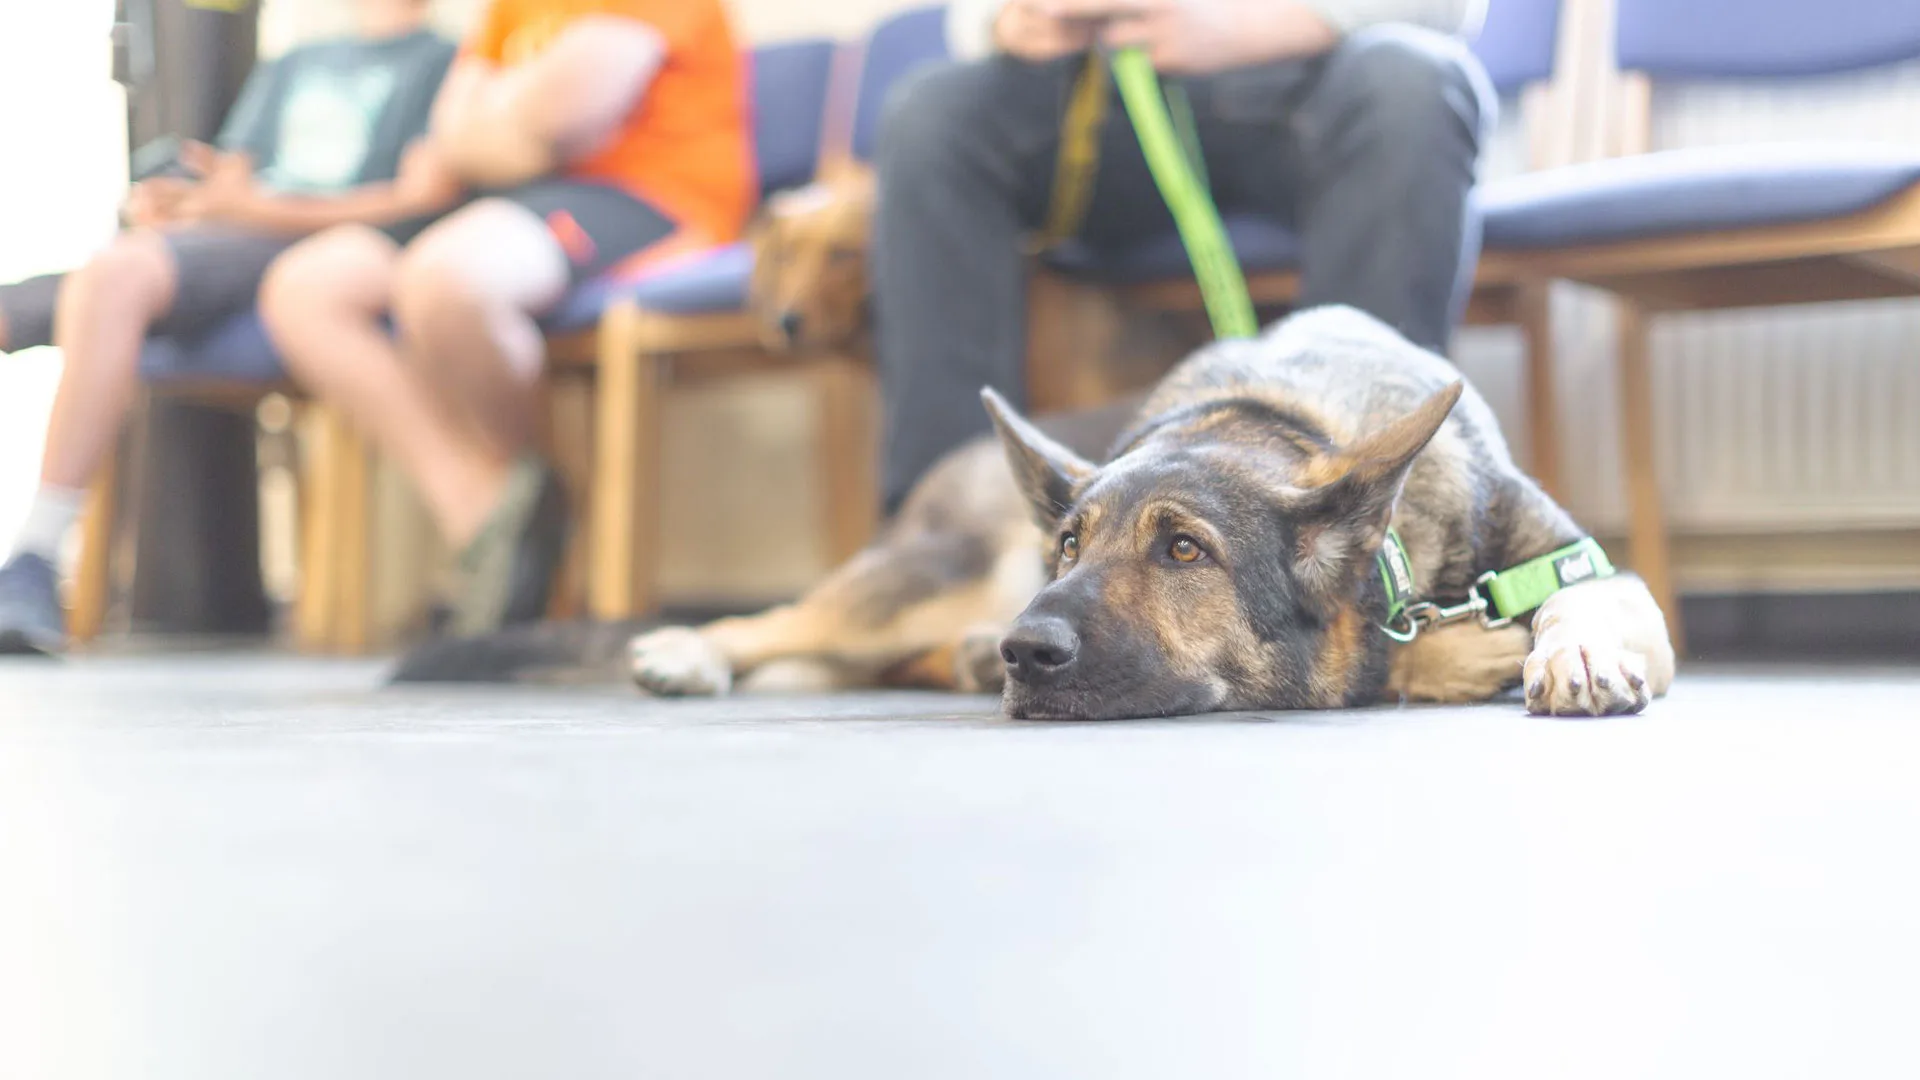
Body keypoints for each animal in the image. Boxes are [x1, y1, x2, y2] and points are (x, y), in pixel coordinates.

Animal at [622, 305, 1674, 714]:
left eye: (1184, 552)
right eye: (1068, 546)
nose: (1023, 651)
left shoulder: (1580, 563)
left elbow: (1589, 597)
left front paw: (1574, 649)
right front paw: (1457, 658)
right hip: (929, 578)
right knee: (788, 620)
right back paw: (690, 649)